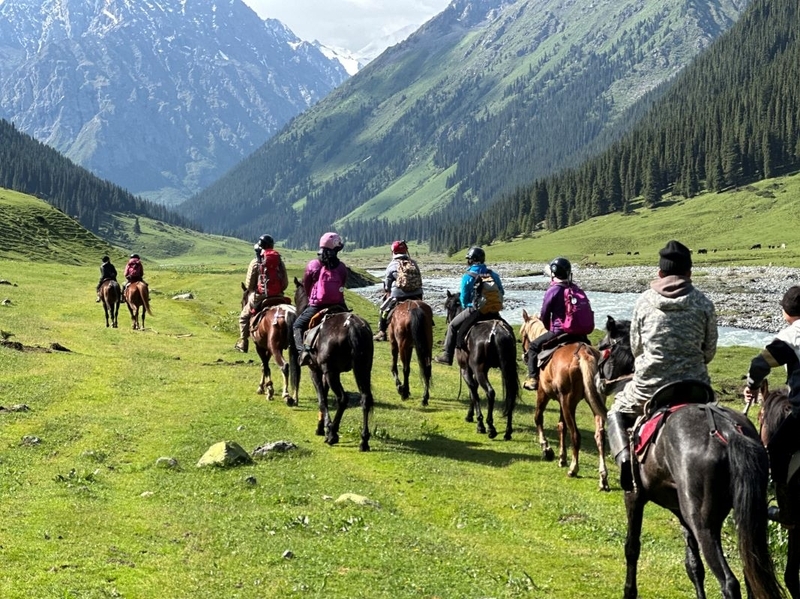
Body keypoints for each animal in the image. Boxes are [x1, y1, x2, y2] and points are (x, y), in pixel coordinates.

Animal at [293, 278, 375, 451]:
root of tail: (351, 326)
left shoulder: (315, 371)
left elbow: (322, 399)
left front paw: (323, 428)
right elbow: (323, 396)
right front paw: (322, 427)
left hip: (332, 372)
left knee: (342, 398)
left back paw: (332, 434)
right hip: (363, 368)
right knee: (365, 398)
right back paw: (363, 441)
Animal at [443, 291, 519, 440]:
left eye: (448, 306)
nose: (448, 320)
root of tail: (497, 332)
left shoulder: (466, 370)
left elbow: (473, 392)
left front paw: (478, 422)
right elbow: (473, 392)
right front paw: (470, 416)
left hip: (479, 371)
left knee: (490, 392)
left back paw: (490, 427)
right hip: (507, 368)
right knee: (511, 395)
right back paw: (508, 431)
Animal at [519, 310, 610, 491]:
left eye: (523, 335)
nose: (524, 355)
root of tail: (583, 354)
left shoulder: (543, 393)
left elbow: (538, 417)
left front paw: (546, 448)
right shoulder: (561, 402)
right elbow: (561, 426)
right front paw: (562, 457)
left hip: (569, 402)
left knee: (576, 435)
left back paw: (574, 469)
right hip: (593, 401)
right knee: (599, 436)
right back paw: (603, 477)